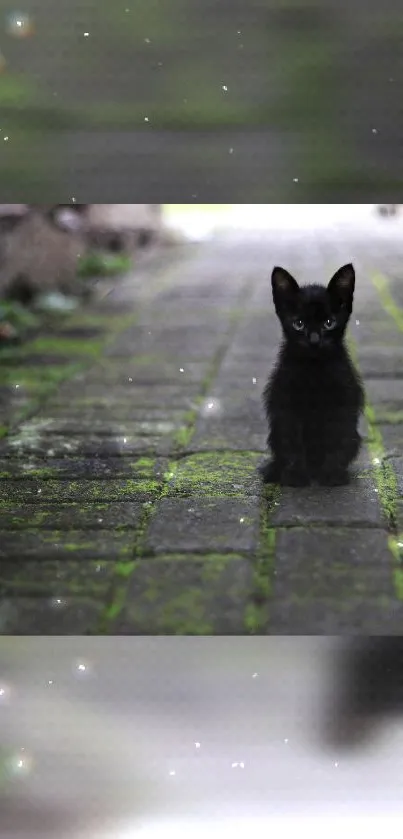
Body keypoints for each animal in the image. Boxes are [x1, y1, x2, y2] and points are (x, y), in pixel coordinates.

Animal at [262, 262, 366, 486]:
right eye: (299, 324)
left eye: (329, 322)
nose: (315, 340)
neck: (314, 369)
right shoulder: (287, 406)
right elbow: (293, 442)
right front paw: (296, 475)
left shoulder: (342, 403)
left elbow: (335, 439)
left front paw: (332, 473)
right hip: (275, 433)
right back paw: (276, 470)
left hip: (353, 437)